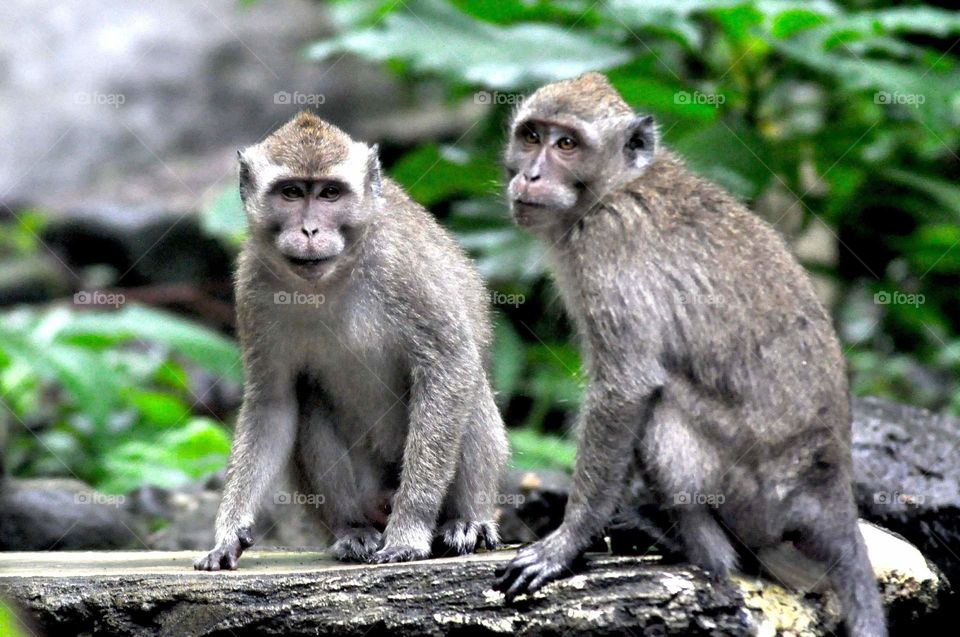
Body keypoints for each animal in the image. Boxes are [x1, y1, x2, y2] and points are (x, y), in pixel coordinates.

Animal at [194, 112, 508, 569]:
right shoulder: (253, 286)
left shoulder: (405, 268)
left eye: (329, 193)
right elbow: (274, 402)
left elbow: (449, 366)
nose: (309, 229)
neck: (331, 277)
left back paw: (466, 521)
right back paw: (352, 530)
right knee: (309, 398)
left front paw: (410, 531)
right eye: (291, 192)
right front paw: (229, 531)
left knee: (471, 387)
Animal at [493, 73, 886, 637]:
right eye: (530, 136)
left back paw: (694, 548)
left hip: (752, 492)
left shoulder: (608, 243)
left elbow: (628, 387)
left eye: (566, 144)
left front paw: (567, 542)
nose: (531, 174)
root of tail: (831, 488)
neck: (615, 189)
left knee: (661, 408)